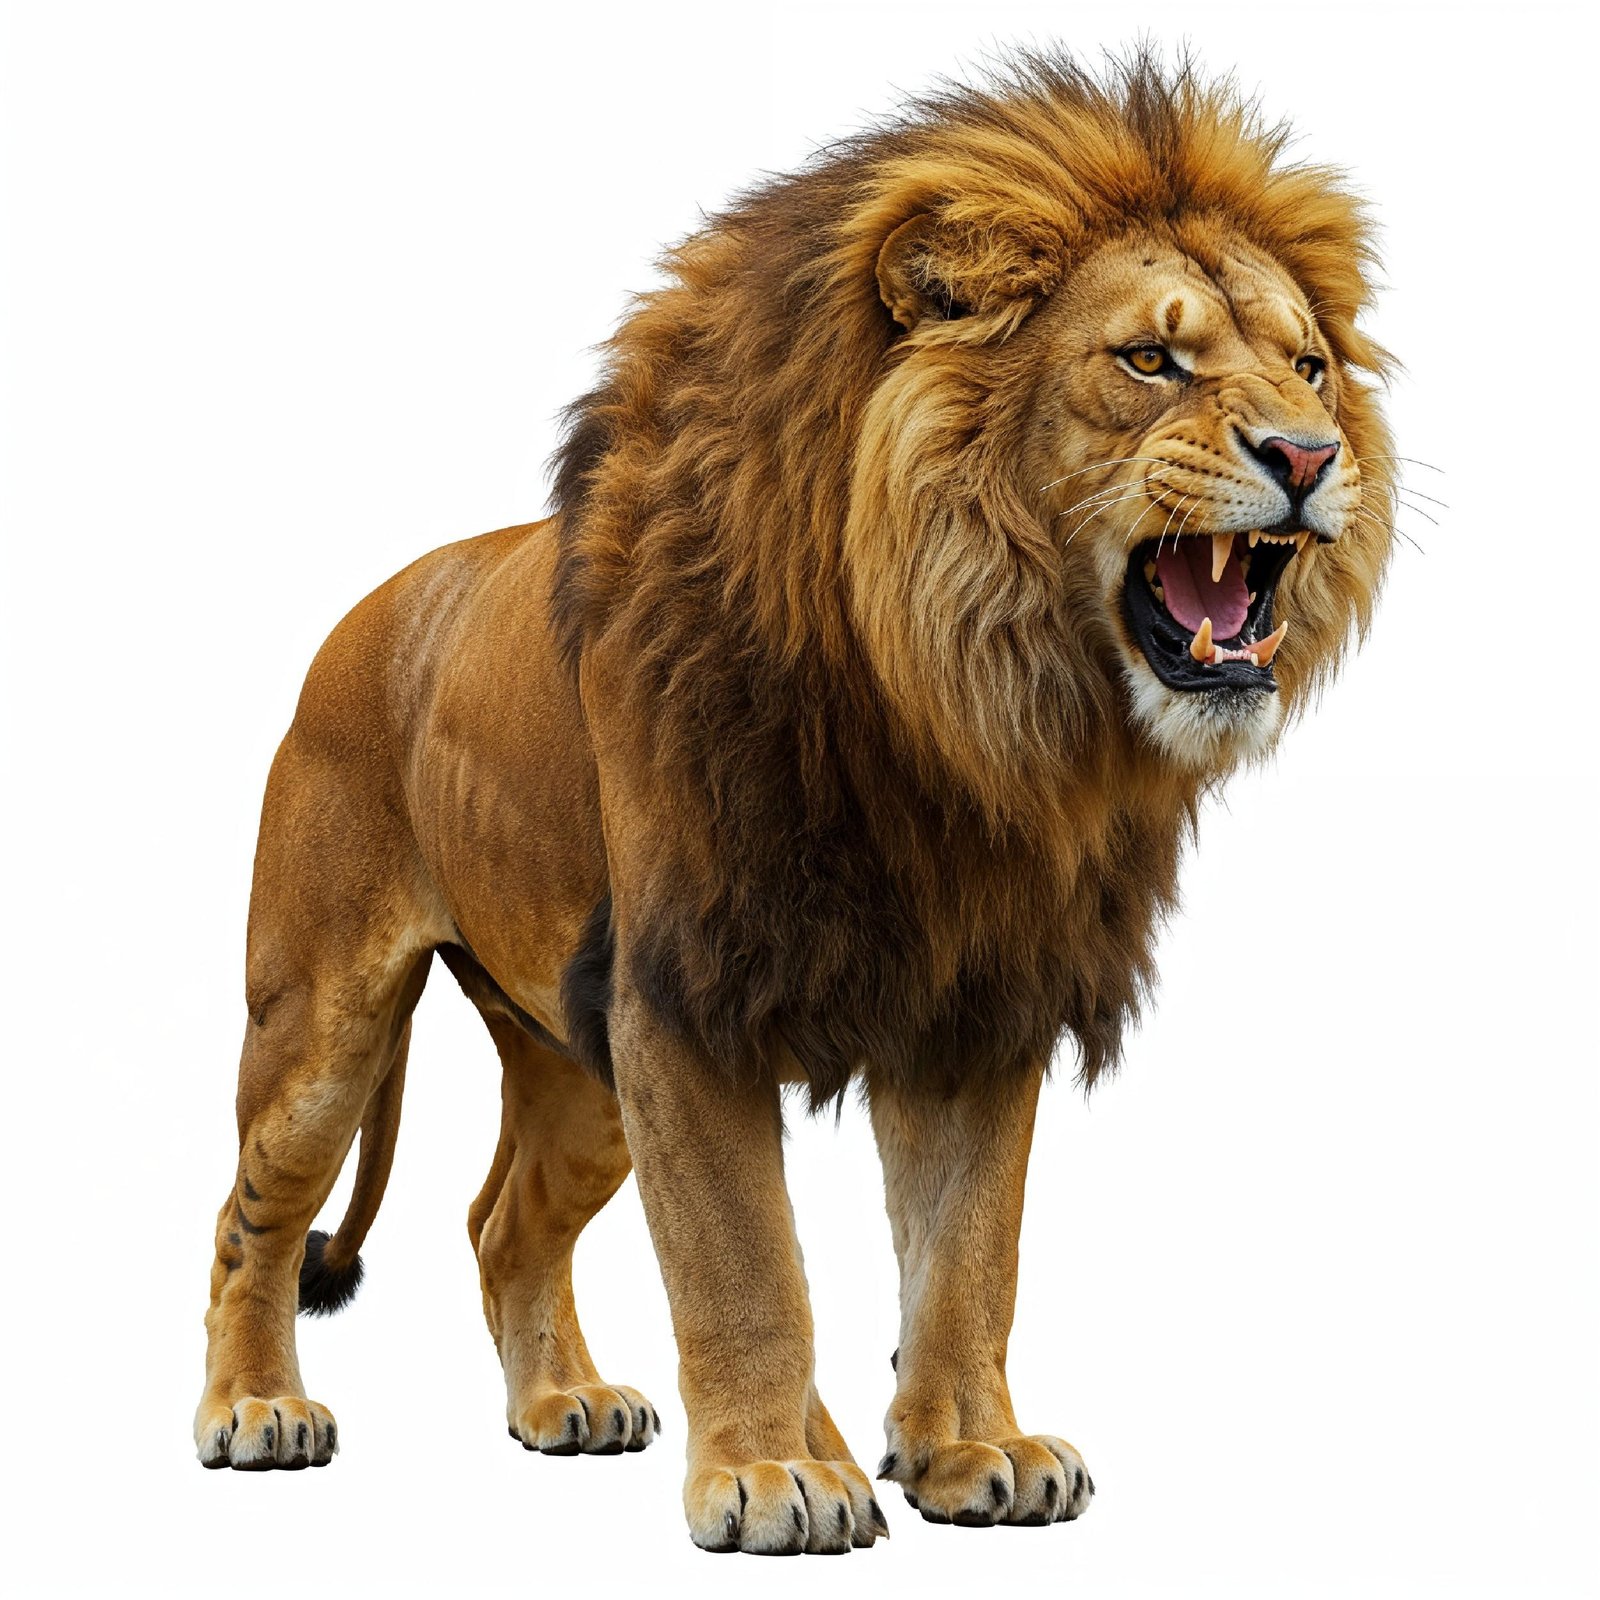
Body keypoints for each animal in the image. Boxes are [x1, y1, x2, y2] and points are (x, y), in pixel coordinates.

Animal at [194, 50, 1395, 1555]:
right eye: (1149, 358)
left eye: (1308, 365)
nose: (1310, 454)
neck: (952, 709)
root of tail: (368, 610)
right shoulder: (683, 994)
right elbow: (744, 1260)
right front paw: (776, 1472)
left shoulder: (976, 995)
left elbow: (969, 1252)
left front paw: (969, 1449)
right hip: (326, 1022)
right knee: (249, 1219)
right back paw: (255, 1408)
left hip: (575, 1059)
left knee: (500, 1221)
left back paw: (562, 1402)